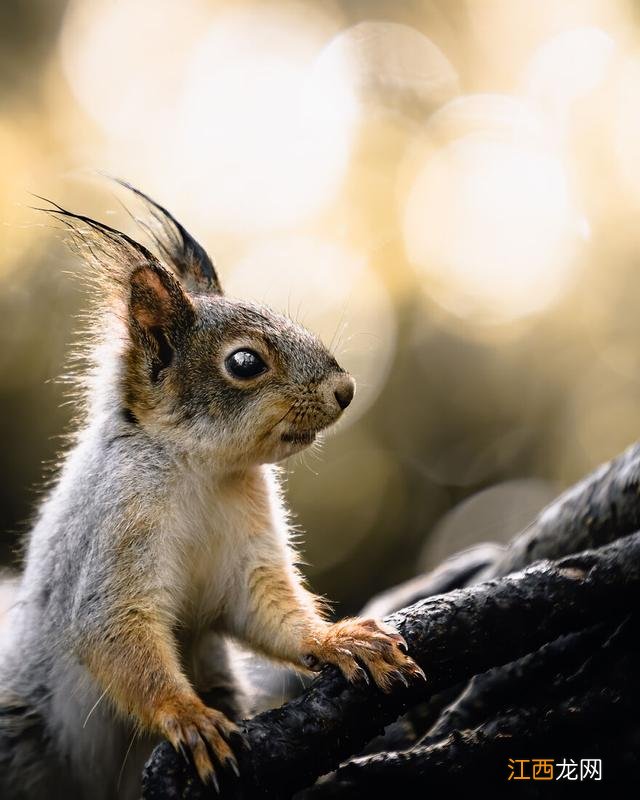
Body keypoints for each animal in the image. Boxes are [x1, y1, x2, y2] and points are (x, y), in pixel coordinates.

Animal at [0, 183, 424, 800]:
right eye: (244, 362)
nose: (346, 390)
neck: (203, 471)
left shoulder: (248, 553)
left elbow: (269, 611)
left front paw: (340, 640)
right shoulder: (112, 533)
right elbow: (113, 632)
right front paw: (189, 717)